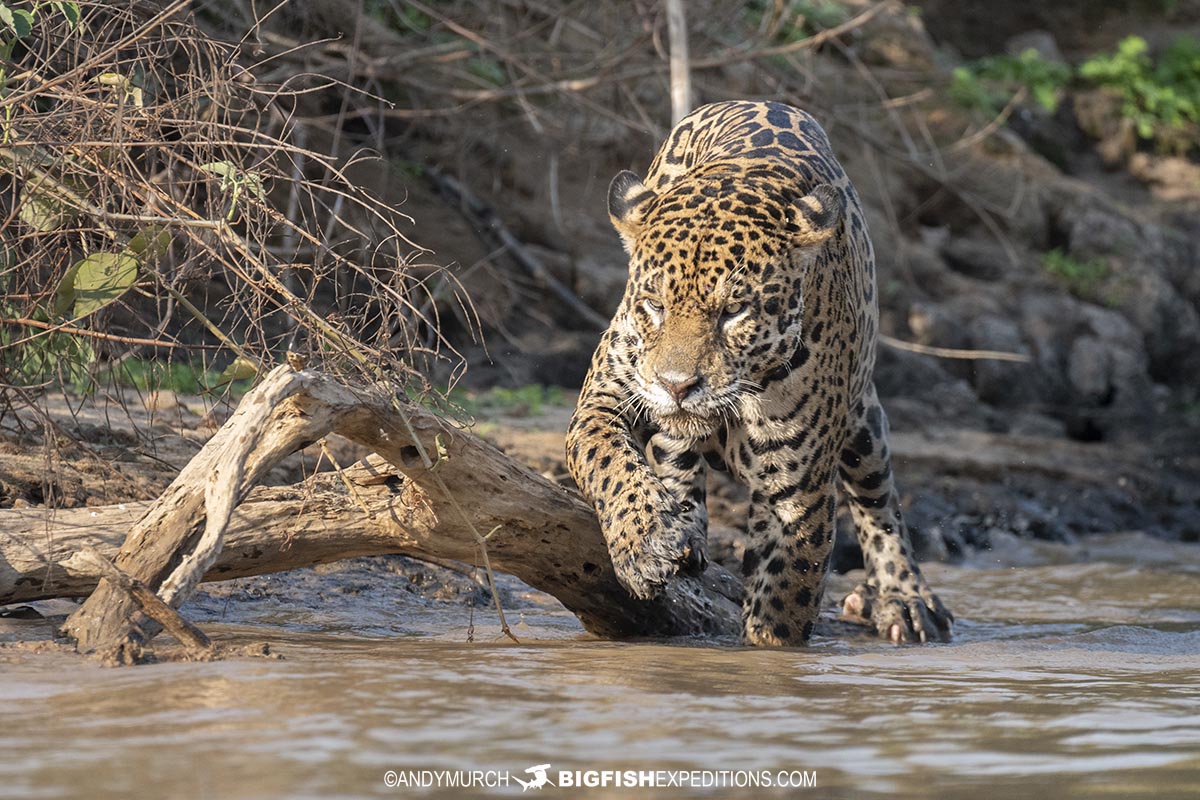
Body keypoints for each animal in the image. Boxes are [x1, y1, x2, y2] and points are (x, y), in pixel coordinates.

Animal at [565, 100, 953, 646]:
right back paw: (685, 524)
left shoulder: (798, 490)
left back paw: (907, 598)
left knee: (881, 504)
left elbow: (782, 604)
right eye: (654, 305)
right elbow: (607, 458)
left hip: (864, 426)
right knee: (671, 450)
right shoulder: (604, 397)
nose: (677, 385)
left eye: (735, 311)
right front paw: (647, 544)